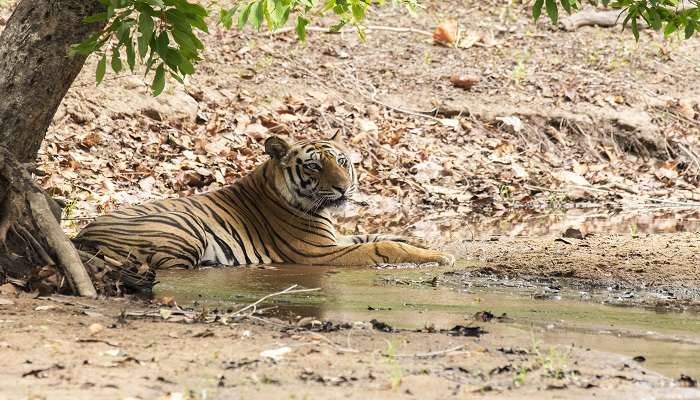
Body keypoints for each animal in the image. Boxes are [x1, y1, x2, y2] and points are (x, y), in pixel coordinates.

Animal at [75, 134, 454, 268]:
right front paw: (439, 256)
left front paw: (426, 243)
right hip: (182, 233)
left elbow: (377, 234)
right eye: (314, 166)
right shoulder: (319, 252)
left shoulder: (334, 238)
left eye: (341, 161)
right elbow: (383, 246)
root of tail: (81, 234)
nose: (344, 188)